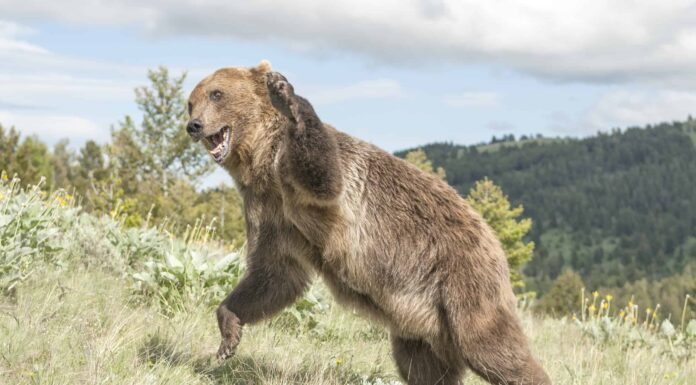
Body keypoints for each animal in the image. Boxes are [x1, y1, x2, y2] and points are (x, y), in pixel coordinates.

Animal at [188, 60, 552, 384]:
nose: (194, 125)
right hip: (421, 320)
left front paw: (285, 94)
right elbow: (274, 274)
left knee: (489, 346)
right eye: (191, 101)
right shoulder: (270, 210)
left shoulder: (311, 180)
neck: (262, 161)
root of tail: (492, 236)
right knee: (423, 366)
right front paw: (228, 334)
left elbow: (324, 176)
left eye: (217, 93)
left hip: (462, 280)